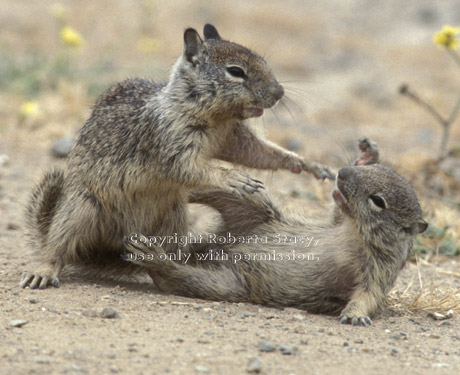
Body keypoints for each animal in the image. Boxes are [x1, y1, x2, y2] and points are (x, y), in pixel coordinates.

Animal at [21, 24, 332, 290]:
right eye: (235, 71)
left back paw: (166, 268)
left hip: (173, 219)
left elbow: (262, 153)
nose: (279, 93)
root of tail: (112, 245)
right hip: (80, 209)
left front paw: (308, 164)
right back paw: (43, 270)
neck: (214, 117)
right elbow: (191, 168)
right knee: (57, 245)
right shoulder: (170, 143)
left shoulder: (234, 138)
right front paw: (235, 179)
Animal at [125, 140, 428, 326]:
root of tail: (217, 246)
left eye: (378, 201)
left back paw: (157, 259)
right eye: (374, 169)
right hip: (254, 205)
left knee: (180, 277)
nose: (342, 172)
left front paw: (355, 315)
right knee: (198, 188)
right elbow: (335, 214)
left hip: (229, 284)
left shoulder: (379, 270)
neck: (356, 233)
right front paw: (367, 155)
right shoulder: (336, 222)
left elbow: (367, 296)